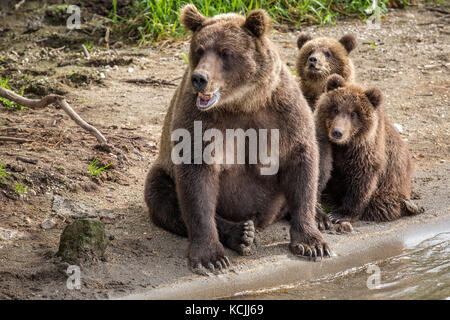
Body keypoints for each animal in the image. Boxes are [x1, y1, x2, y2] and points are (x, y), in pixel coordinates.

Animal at [144, 5, 330, 274]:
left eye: (225, 52)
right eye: (199, 50)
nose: (199, 78)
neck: (242, 102)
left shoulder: (283, 112)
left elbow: (302, 162)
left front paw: (312, 243)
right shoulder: (199, 122)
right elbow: (196, 184)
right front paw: (211, 257)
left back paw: (323, 216)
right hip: (163, 170)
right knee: (162, 196)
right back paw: (241, 233)